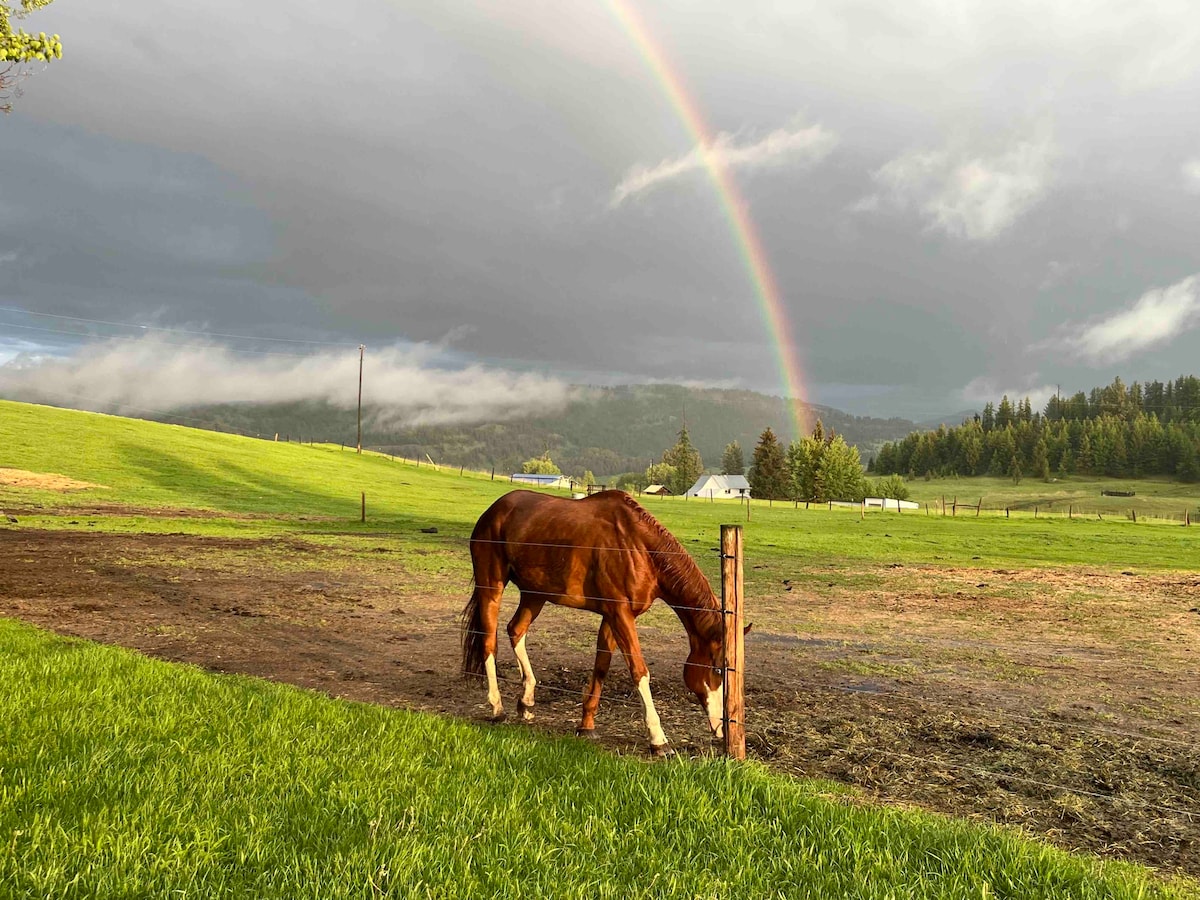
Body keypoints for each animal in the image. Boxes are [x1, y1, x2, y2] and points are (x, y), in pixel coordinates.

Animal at [460, 489, 724, 758]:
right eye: (717, 669)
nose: (721, 727)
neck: (638, 547)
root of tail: (494, 510)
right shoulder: (620, 614)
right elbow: (639, 671)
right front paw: (658, 739)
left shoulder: (611, 617)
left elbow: (601, 668)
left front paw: (586, 726)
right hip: (492, 585)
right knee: (489, 641)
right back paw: (497, 708)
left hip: (534, 595)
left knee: (515, 630)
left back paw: (526, 702)